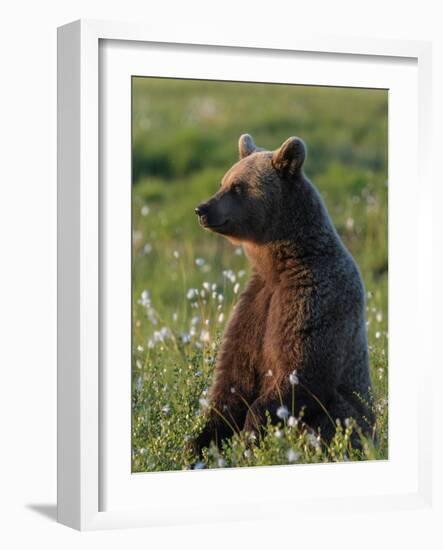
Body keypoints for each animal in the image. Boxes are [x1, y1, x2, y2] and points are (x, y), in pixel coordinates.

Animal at [193, 135, 374, 458]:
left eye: (237, 187)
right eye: (223, 181)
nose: (202, 209)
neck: (279, 265)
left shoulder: (313, 297)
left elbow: (301, 371)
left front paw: (250, 437)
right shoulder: (257, 304)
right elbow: (234, 378)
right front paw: (198, 442)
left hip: (352, 416)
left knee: (332, 419)